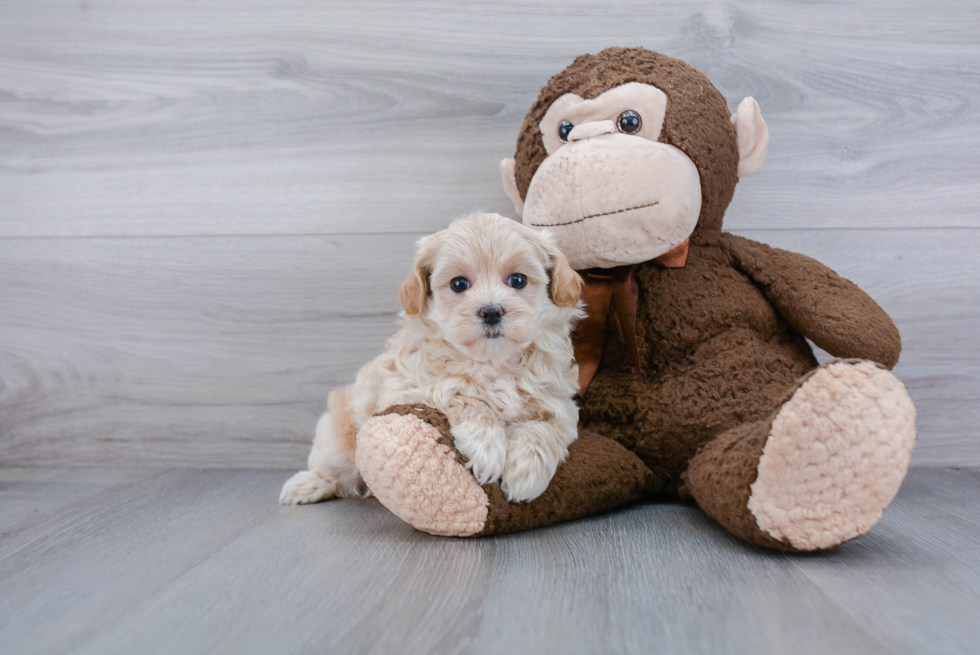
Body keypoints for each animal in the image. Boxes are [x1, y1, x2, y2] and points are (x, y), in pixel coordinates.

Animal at [278, 215, 580, 508]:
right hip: (336, 438)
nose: (491, 311)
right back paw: (306, 485)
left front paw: (526, 472)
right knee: (333, 471)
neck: (493, 362)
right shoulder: (408, 389)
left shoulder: (558, 404)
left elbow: (542, 428)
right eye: (459, 284)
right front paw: (487, 449)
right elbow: (464, 397)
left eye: (518, 280)